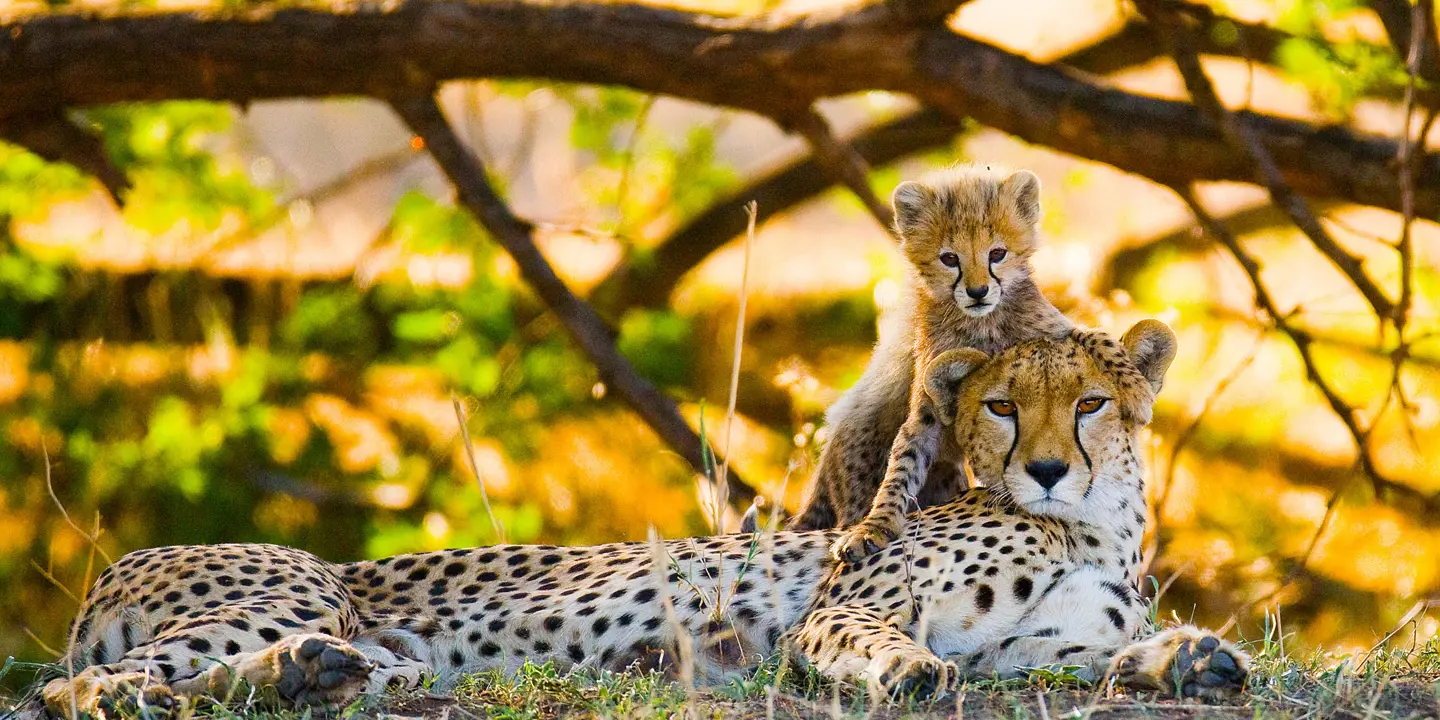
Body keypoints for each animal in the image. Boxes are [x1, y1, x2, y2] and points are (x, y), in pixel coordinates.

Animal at [33, 324, 1249, 717]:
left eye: (1088, 404)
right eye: (1002, 406)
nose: (1044, 470)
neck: (1090, 529)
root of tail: (120, 564)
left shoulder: (1030, 648)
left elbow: (1105, 657)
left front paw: (1190, 660)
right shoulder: (847, 606)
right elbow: (875, 639)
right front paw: (904, 672)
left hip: (371, 645)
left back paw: (314, 677)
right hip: (296, 587)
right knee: (78, 690)